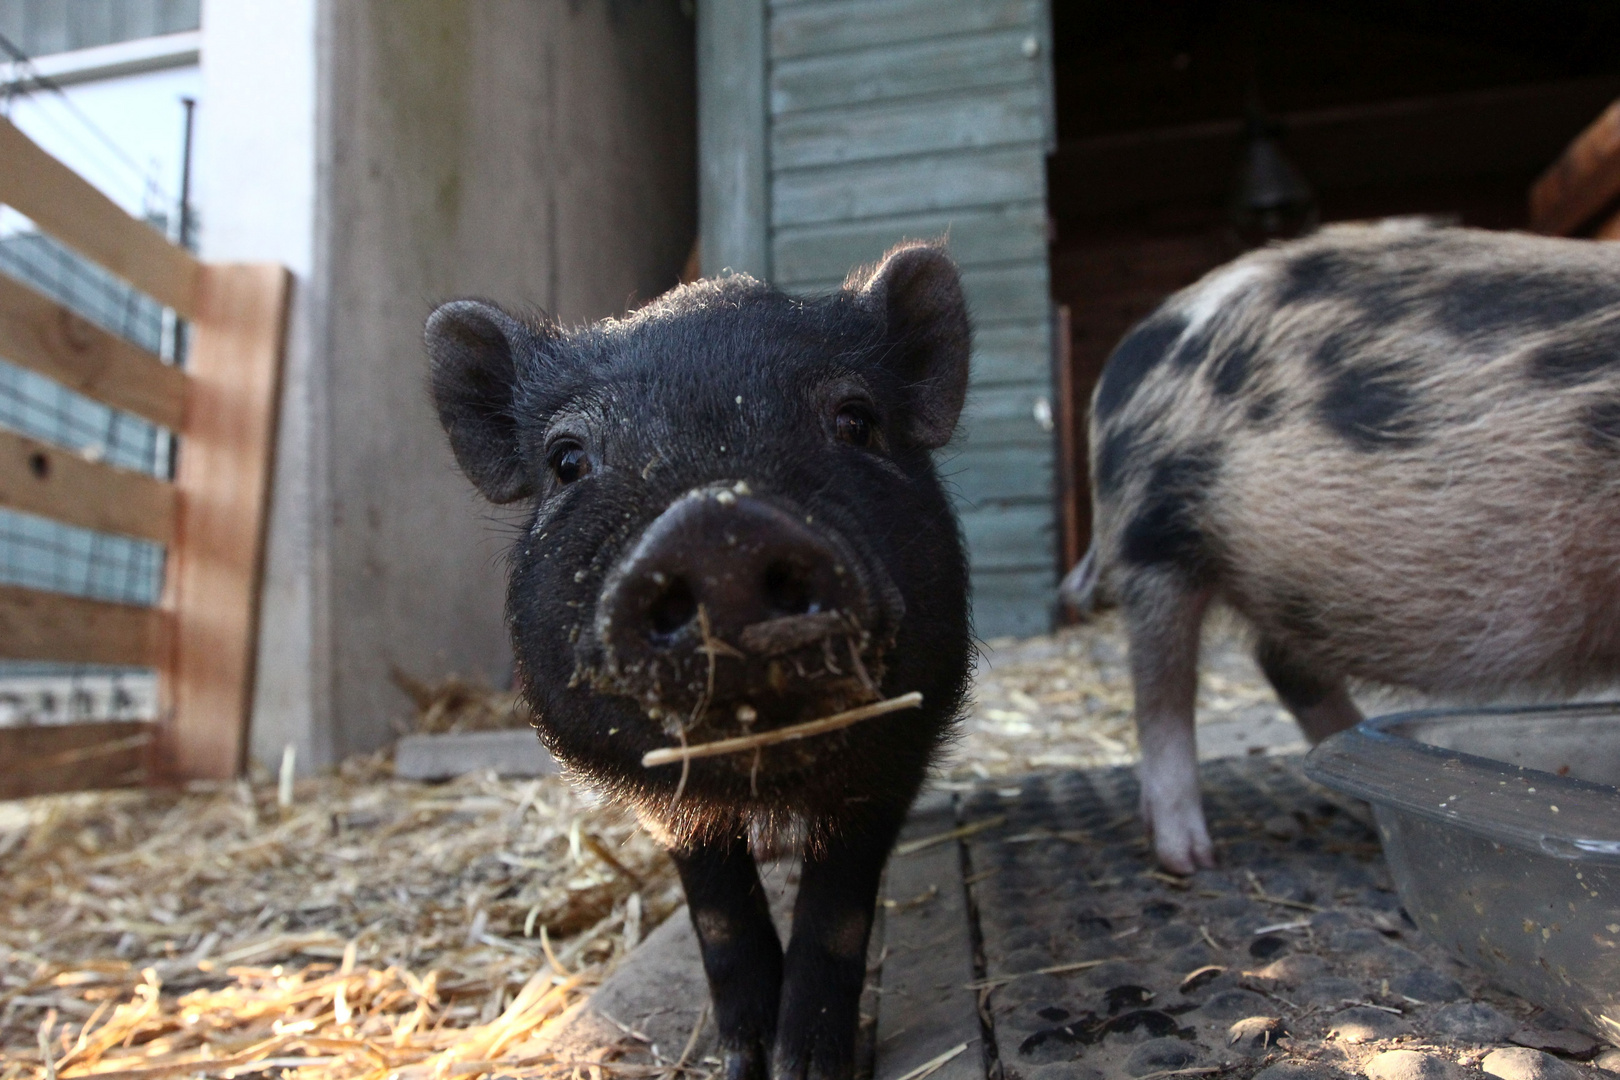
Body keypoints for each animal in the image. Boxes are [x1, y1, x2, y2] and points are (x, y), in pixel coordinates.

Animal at [424, 242, 965, 1080]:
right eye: (567, 459)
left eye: (855, 419)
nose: (717, 528)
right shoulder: (662, 796)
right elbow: (718, 915)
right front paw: (744, 1060)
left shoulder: (898, 747)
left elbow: (838, 911)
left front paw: (805, 1067)